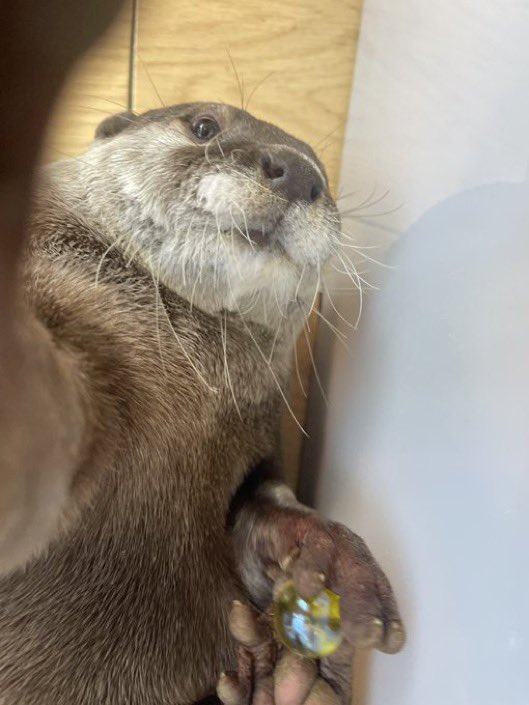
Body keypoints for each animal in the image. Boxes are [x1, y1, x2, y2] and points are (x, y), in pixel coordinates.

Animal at [0, 103, 404, 705]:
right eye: (204, 126)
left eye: (326, 181)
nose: (297, 170)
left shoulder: (258, 452)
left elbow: (267, 503)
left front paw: (330, 558)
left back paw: (286, 683)